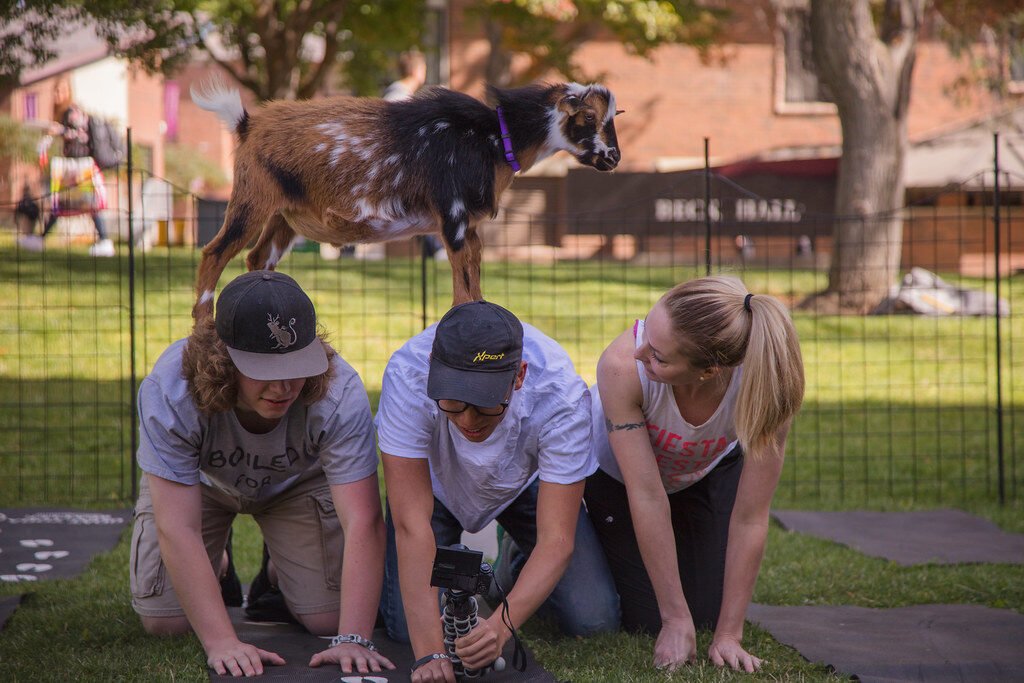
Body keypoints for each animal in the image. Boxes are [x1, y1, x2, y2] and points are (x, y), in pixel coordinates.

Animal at [189, 81, 621, 319]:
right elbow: (462, 291)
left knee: (257, 259)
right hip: (252, 200)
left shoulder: (471, 228)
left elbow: (475, 287)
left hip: (284, 217)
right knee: (214, 253)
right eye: (587, 117)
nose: (614, 158)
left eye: (613, 117)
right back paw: (203, 324)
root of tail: (247, 124)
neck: (495, 137)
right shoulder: (453, 219)